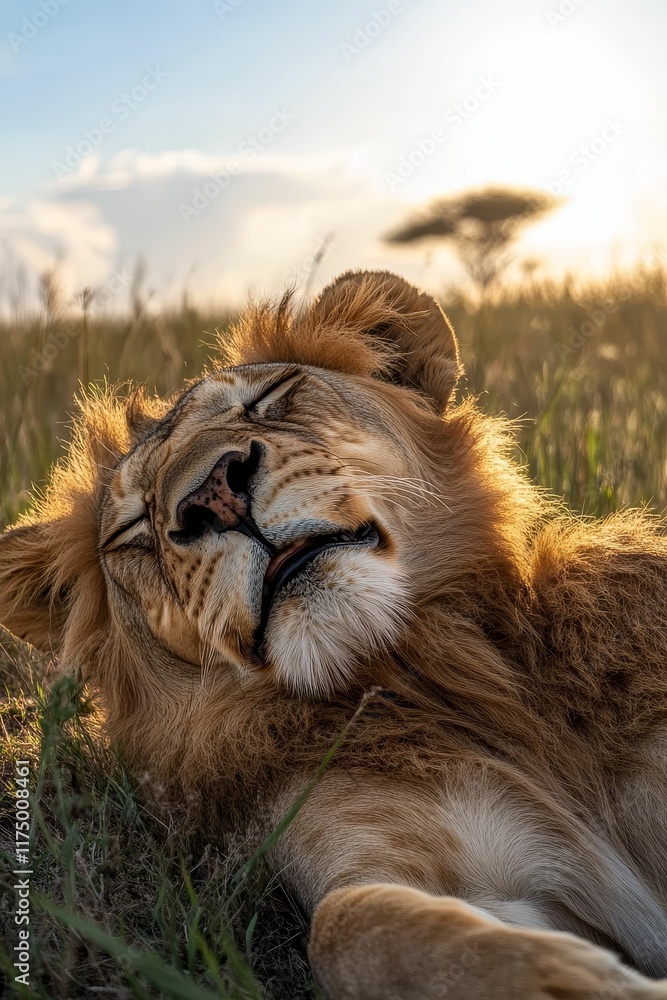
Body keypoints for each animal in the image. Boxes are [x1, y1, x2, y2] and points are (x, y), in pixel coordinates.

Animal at [1, 270, 667, 999]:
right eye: (131, 530)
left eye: (268, 397)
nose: (212, 495)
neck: (433, 671)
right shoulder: (396, 857)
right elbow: (347, 924)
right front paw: (587, 982)